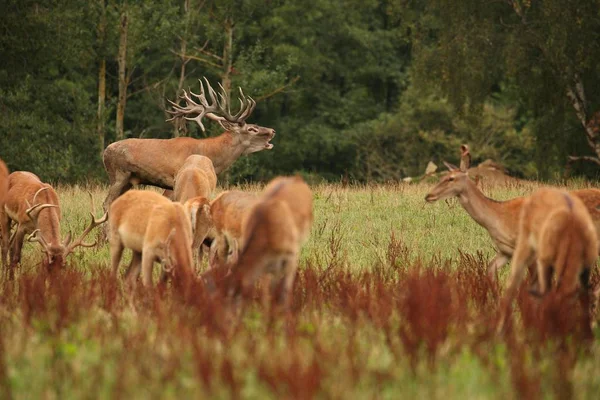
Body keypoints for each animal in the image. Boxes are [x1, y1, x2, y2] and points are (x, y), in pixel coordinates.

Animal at [102, 76, 276, 211]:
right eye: (252, 129)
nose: (272, 131)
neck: (210, 153)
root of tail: (104, 152)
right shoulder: (172, 181)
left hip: (128, 180)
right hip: (118, 175)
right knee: (107, 204)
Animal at [496, 188, 600, 334]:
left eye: (567, 316)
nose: (556, 335)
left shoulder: (586, 267)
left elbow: (584, 298)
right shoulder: (544, 262)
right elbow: (544, 295)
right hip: (525, 245)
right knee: (512, 284)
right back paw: (500, 329)